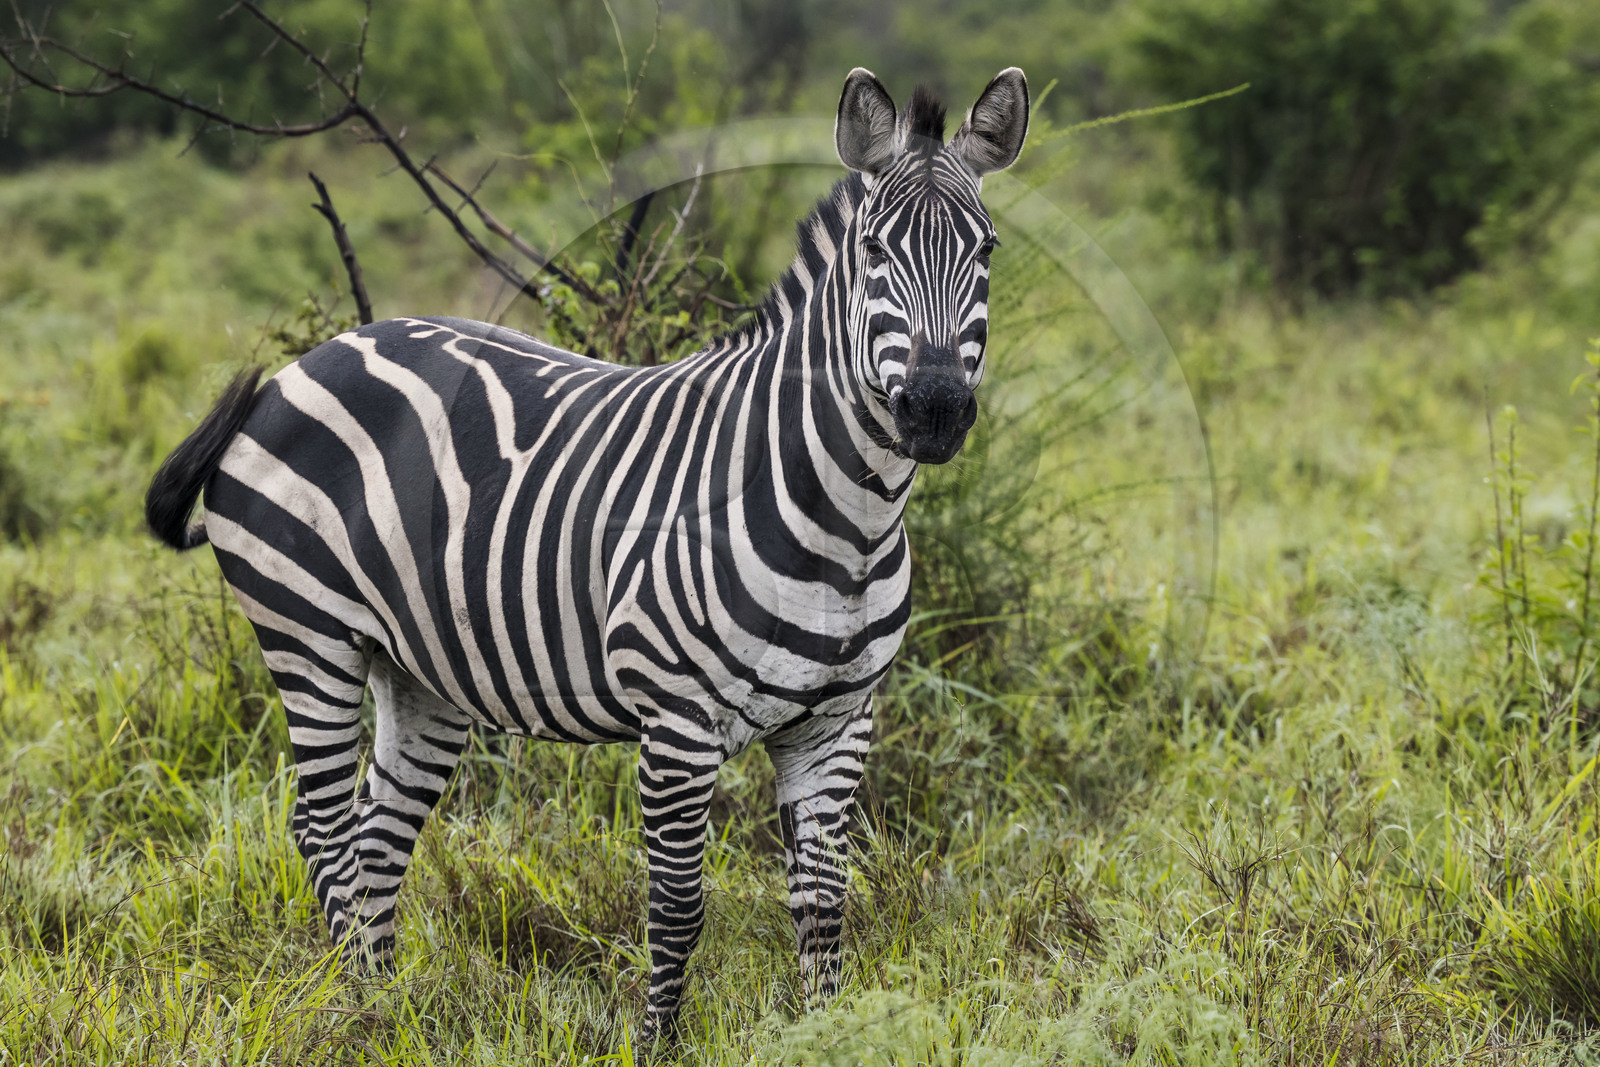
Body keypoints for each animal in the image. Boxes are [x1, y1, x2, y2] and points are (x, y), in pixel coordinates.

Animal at [144, 66, 1028, 1039]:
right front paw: (658, 1044)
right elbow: (677, 907)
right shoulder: (677, 720)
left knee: (377, 836)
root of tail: (304, 363)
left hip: (416, 669)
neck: (848, 526)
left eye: (987, 253)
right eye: (873, 251)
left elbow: (824, 901)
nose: (935, 410)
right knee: (326, 828)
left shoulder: (837, 722)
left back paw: (391, 1012)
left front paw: (826, 1036)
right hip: (308, 632)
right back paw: (356, 1013)